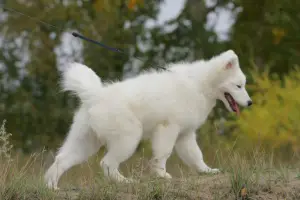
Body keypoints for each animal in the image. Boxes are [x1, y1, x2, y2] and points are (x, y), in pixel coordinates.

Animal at [44, 49, 251, 189]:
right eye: (239, 86)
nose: (249, 103)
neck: (199, 85)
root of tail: (95, 95)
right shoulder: (168, 128)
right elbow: (163, 154)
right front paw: (161, 175)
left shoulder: (185, 135)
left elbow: (196, 156)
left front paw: (207, 171)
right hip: (129, 137)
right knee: (107, 163)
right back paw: (125, 181)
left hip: (85, 143)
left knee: (60, 160)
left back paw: (52, 188)